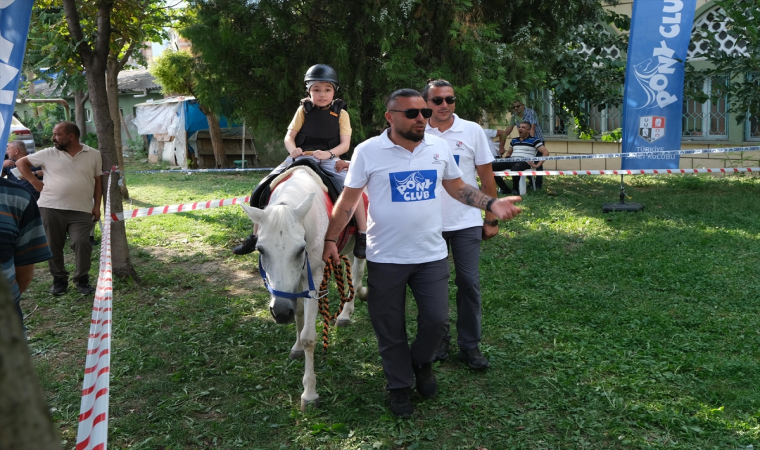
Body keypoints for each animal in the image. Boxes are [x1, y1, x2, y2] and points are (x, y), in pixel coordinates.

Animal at [239, 166, 366, 412]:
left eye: (300, 249)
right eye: (260, 249)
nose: (279, 313)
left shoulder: (313, 278)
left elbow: (309, 336)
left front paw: (309, 393)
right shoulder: (294, 284)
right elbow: (297, 313)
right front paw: (296, 347)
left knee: (356, 273)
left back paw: (346, 314)